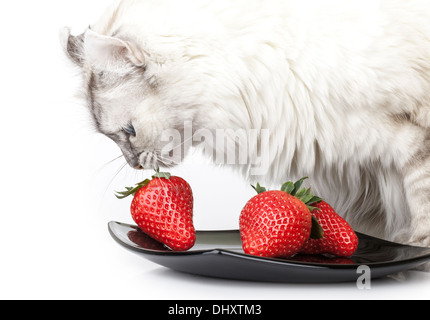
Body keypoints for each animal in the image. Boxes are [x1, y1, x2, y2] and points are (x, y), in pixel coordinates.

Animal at [61, 0, 430, 248]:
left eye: (129, 131)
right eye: (112, 137)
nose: (135, 165)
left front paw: (416, 251)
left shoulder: (403, 136)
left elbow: (421, 201)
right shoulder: (348, 165)